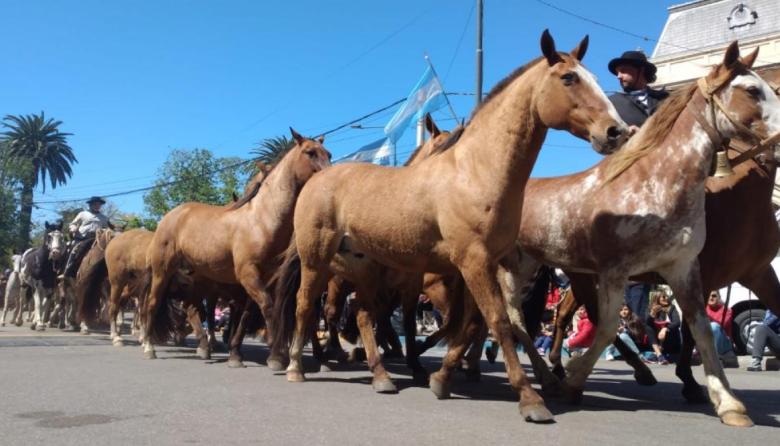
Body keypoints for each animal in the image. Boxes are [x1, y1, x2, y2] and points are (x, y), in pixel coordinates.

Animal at [140, 128, 331, 363]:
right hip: (162, 271)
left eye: (328, 154)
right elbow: (268, 307)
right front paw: (277, 354)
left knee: (191, 308)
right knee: (152, 303)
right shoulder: (247, 274)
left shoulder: (261, 280)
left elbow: (247, 315)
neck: (261, 220)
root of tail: (171, 216)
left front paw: (237, 354)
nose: (331, 176)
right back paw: (149, 347)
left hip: (197, 280)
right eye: (310, 152)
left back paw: (204, 347)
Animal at [271, 30, 627, 423]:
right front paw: (530, 399)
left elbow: (470, 323)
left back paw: (381, 375)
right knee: (306, 306)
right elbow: (498, 321)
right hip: (317, 260)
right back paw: (297, 366)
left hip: (362, 267)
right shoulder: (473, 262)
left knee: (362, 313)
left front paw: (441, 378)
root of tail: (317, 181)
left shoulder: (484, 266)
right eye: (568, 78)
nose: (616, 132)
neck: (474, 172)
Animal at [502, 42, 780, 427]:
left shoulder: (684, 268)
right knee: (513, 317)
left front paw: (727, 403)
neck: (654, 183)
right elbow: (607, 328)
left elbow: (700, 330)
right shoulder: (615, 271)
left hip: (541, 268)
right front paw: (574, 379)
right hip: (517, 269)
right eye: (753, 90)